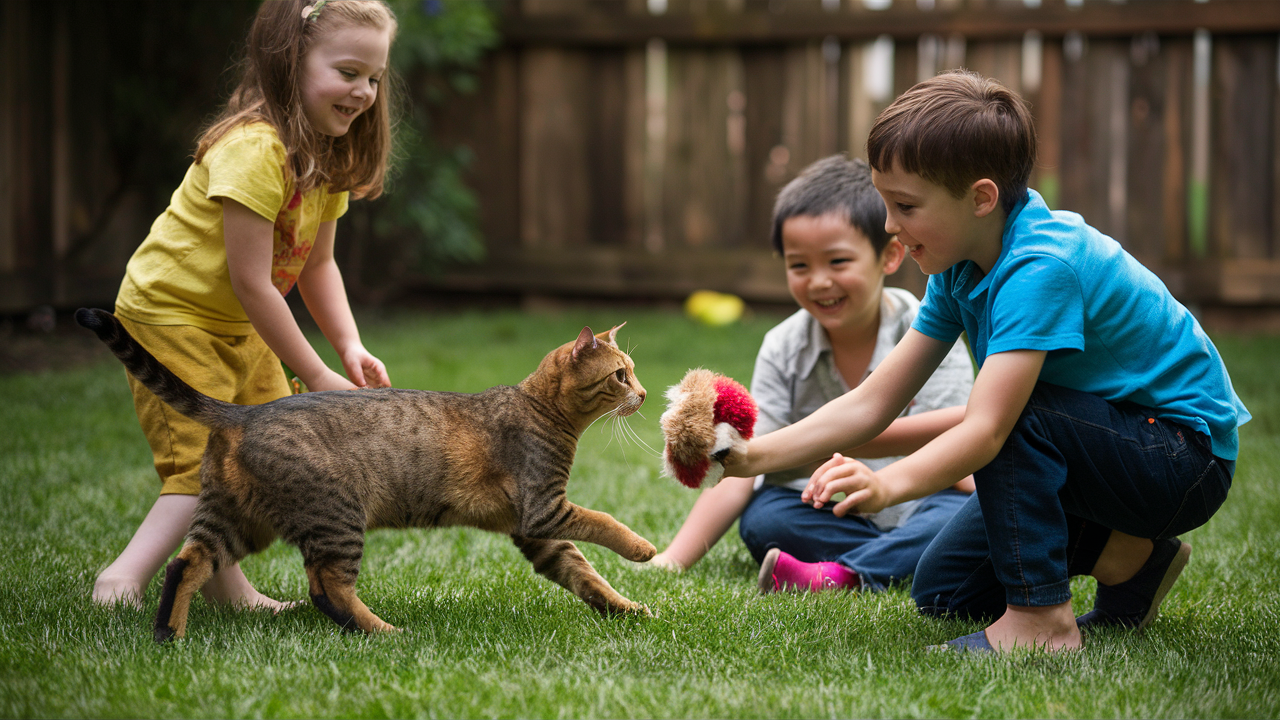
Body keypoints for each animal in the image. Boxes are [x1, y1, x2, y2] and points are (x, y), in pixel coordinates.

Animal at [77, 308, 660, 638]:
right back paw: (385, 633)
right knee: (327, 587)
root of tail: (241, 412)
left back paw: (169, 637)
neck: (542, 410)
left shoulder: (535, 531)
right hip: (336, 516)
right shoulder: (544, 509)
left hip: (238, 520)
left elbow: (585, 575)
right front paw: (643, 550)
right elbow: (604, 522)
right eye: (621, 375)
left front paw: (627, 610)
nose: (645, 393)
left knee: (187, 565)